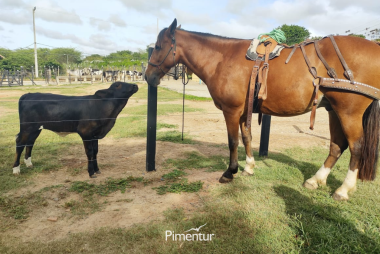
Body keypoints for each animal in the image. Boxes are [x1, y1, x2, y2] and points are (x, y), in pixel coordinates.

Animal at [145, 18, 380, 200]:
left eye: (157, 47)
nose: (148, 76)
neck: (222, 58)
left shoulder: (231, 110)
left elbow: (233, 141)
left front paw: (230, 172)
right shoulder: (243, 111)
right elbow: (247, 137)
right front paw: (248, 167)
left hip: (348, 112)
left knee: (356, 147)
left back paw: (343, 189)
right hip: (334, 110)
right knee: (337, 146)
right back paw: (316, 180)